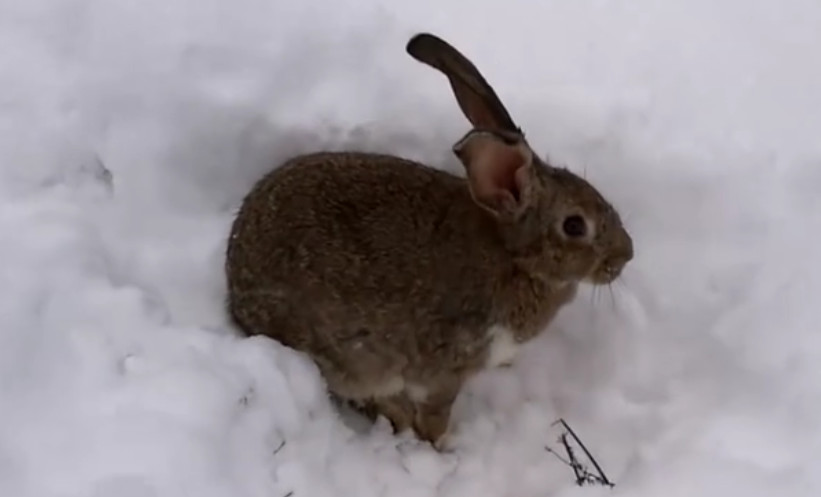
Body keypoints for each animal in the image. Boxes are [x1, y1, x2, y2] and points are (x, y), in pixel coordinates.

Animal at [224, 33, 636, 448]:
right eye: (574, 226)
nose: (625, 255)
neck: (514, 256)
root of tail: (235, 289)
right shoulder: (447, 365)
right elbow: (436, 411)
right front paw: (442, 447)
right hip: (349, 357)